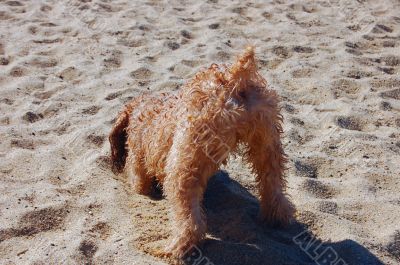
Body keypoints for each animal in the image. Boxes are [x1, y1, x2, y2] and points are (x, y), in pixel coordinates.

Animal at [108, 46, 294, 256]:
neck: (138, 112)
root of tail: (234, 77)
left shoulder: (138, 163)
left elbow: (140, 185)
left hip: (183, 164)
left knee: (191, 223)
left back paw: (173, 249)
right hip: (267, 143)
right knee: (274, 187)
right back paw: (276, 218)